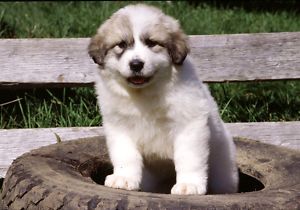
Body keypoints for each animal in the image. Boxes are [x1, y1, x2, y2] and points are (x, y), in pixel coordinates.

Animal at [88, 3, 238, 195]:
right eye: (121, 44)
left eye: (152, 43)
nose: (136, 64)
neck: (144, 94)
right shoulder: (119, 127)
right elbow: (126, 155)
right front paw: (124, 178)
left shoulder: (190, 124)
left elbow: (188, 157)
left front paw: (188, 185)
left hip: (223, 169)